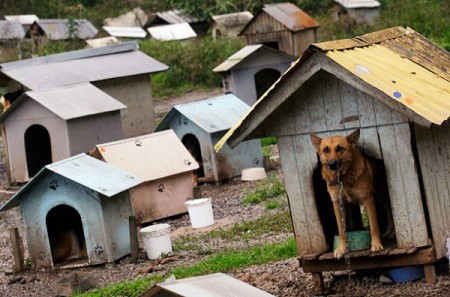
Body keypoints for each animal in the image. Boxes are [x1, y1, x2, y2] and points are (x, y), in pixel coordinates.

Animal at [312, 128, 392, 258]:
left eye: (340, 148)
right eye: (326, 150)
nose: (332, 164)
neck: (342, 178)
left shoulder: (368, 199)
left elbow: (374, 225)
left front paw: (376, 244)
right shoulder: (337, 204)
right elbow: (341, 230)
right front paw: (342, 248)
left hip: (381, 196)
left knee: (389, 211)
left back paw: (390, 232)